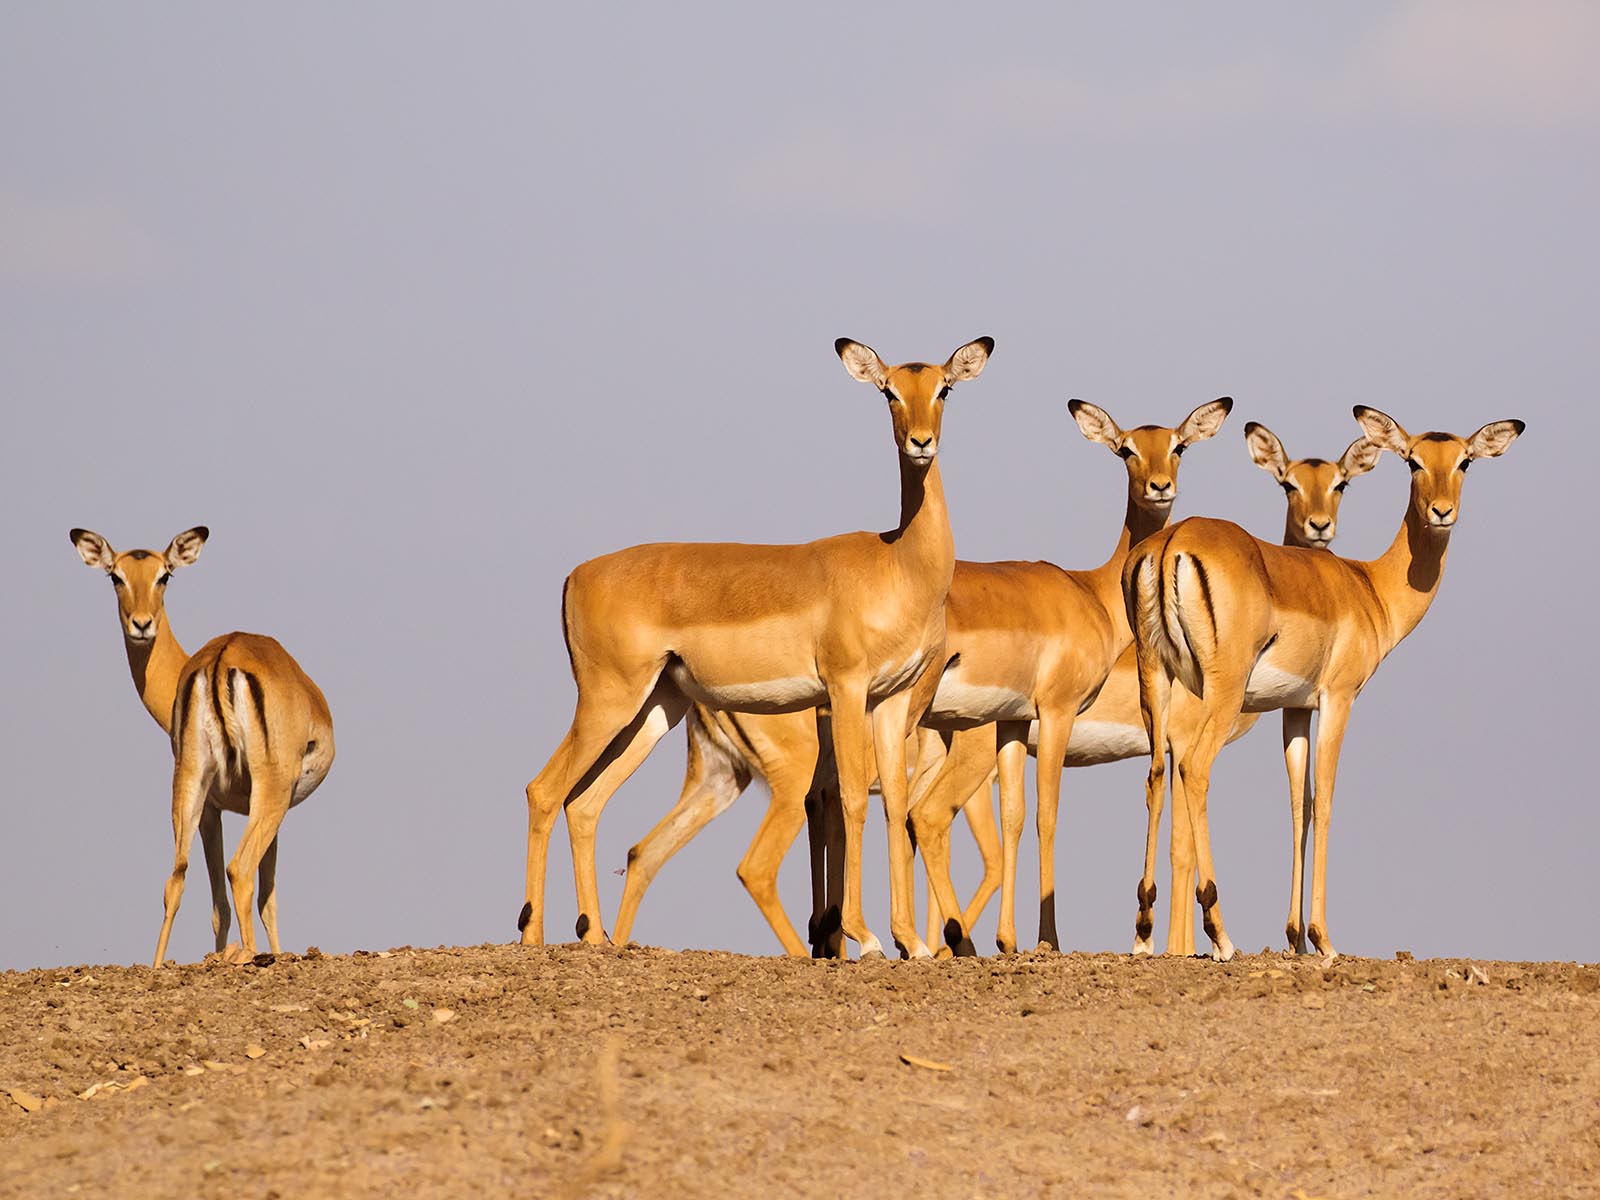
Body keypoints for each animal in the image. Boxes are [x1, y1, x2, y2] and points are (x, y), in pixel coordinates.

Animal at [70, 528, 334, 967]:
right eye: (116, 577)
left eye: (164, 575)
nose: (141, 624)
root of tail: (220, 660)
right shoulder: (267, 806)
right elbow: (268, 900)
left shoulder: (212, 808)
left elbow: (216, 907)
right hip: (270, 791)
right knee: (240, 872)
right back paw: (248, 955)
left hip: (189, 782)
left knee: (175, 878)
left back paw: (157, 968)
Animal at [520, 338, 993, 960]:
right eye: (889, 391)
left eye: (944, 388)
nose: (920, 442)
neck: (898, 563)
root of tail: (576, 575)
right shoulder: (846, 688)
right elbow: (853, 797)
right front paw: (866, 936)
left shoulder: (890, 700)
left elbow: (894, 799)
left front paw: (910, 942)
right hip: (608, 701)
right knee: (544, 790)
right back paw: (531, 936)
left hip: (655, 709)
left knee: (585, 803)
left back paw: (597, 939)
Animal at [1125, 408, 1523, 961]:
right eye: (1414, 461)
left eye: (1464, 460)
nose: (1442, 511)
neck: (1367, 586)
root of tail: (1172, 543)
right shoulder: (1338, 699)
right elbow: (1328, 799)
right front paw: (1322, 938)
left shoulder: (1294, 709)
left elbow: (1301, 805)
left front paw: (1294, 938)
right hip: (1221, 692)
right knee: (1195, 768)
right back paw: (1220, 934)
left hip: (1155, 682)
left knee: (1156, 774)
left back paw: (1143, 931)